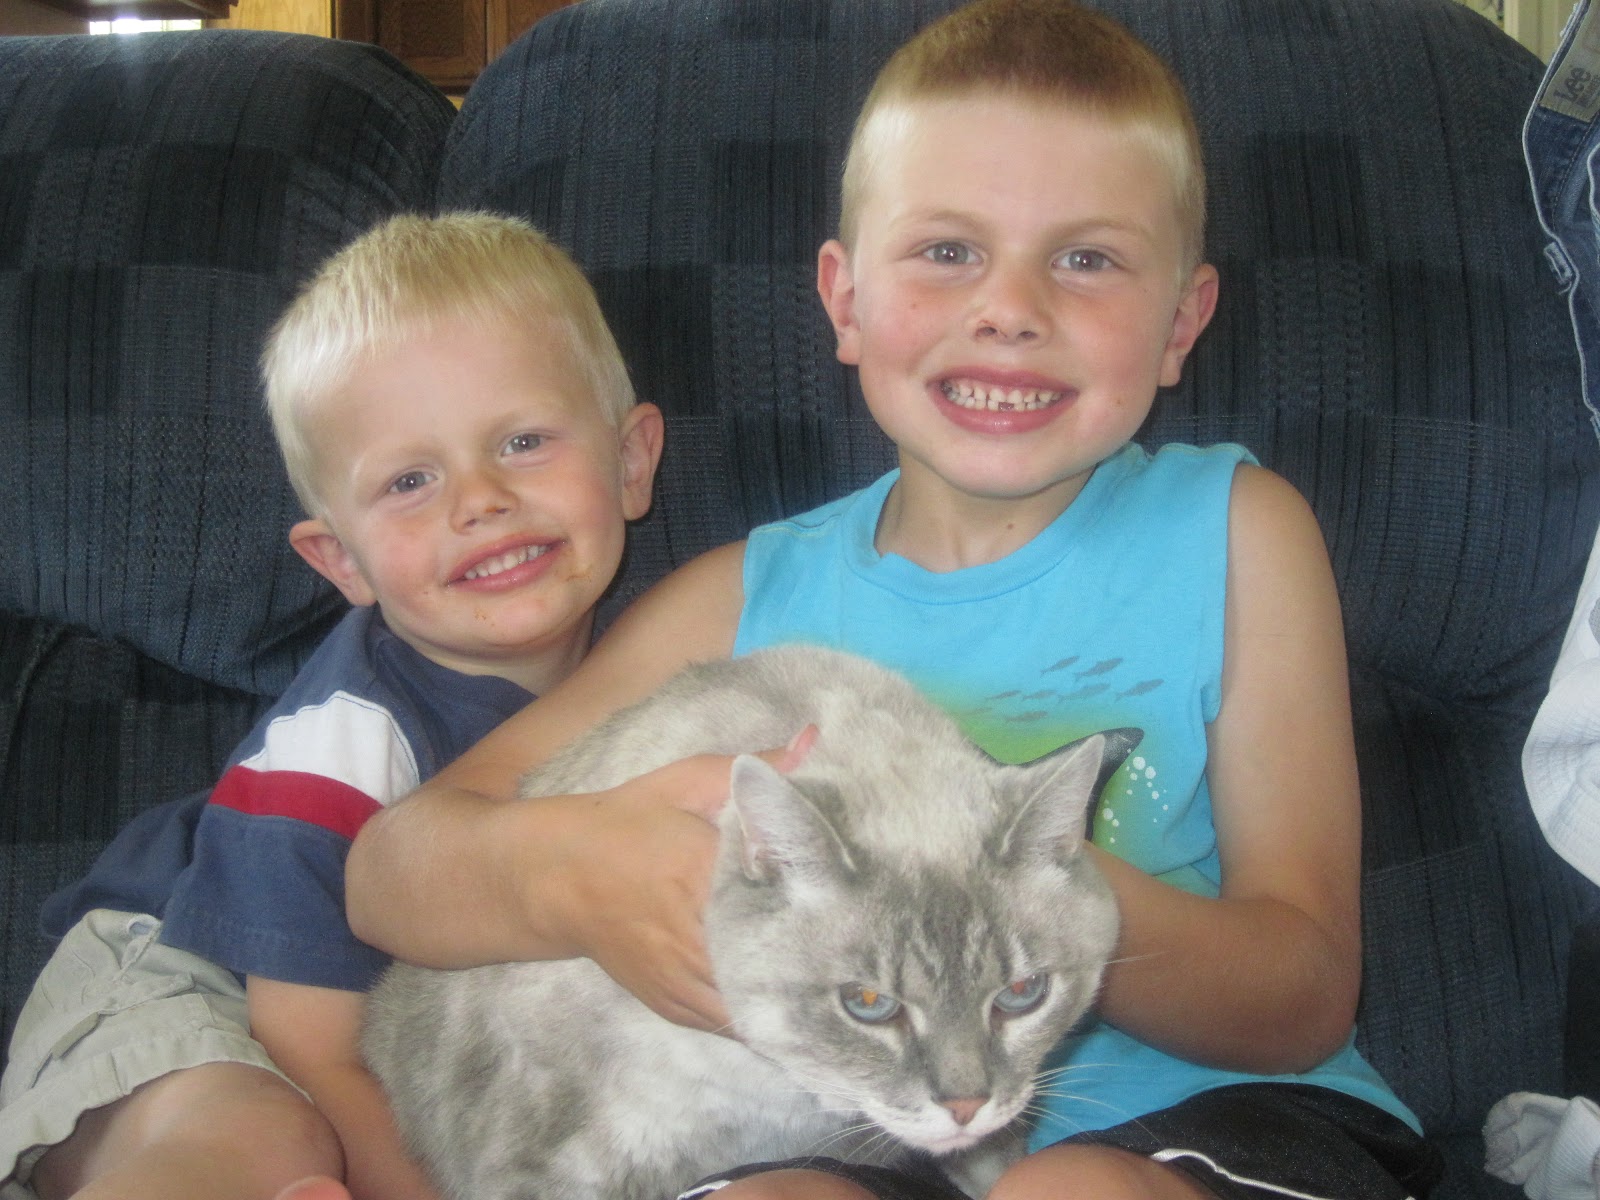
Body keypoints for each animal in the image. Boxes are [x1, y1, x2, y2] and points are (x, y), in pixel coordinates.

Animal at [361, 645, 1134, 1200]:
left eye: (1023, 994)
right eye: (868, 1004)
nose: (965, 1106)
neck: (780, 1099)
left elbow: (1000, 1168)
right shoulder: (543, 1169)